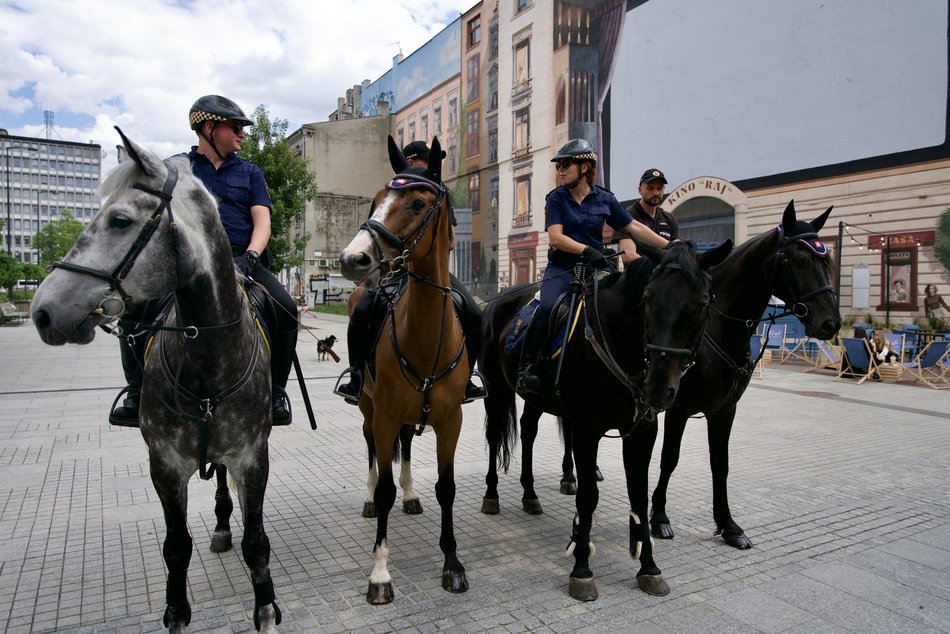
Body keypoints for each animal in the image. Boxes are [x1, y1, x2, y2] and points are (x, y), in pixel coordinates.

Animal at [30, 130, 282, 632]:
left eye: (119, 220)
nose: (42, 311)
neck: (208, 358)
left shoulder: (252, 457)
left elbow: (257, 543)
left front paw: (266, 608)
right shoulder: (163, 465)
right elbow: (176, 548)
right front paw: (176, 612)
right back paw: (220, 526)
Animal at [340, 135, 470, 604]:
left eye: (417, 202)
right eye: (377, 199)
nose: (353, 259)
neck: (426, 334)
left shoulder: (451, 420)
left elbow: (447, 488)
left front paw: (452, 564)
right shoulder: (385, 415)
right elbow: (383, 487)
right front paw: (380, 573)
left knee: (408, 448)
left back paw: (411, 495)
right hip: (367, 410)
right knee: (373, 454)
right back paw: (367, 499)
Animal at [480, 239, 732, 600]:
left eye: (702, 304)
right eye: (647, 298)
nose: (659, 387)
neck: (619, 341)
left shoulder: (642, 432)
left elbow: (639, 496)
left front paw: (649, 567)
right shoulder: (587, 430)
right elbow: (588, 497)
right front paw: (582, 568)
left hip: (535, 398)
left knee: (527, 432)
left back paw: (530, 495)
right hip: (497, 389)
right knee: (494, 436)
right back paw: (492, 495)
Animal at [652, 199, 844, 548]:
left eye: (828, 260)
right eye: (799, 259)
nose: (830, 323)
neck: (716, 327)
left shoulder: (725, 410)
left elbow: (721, 464)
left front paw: (728, 524)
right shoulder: (678, 409)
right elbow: (669, 458)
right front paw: (659, 516)